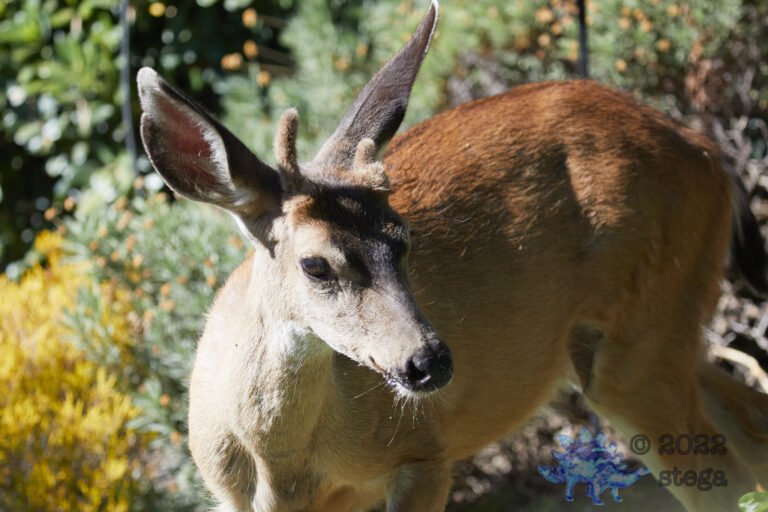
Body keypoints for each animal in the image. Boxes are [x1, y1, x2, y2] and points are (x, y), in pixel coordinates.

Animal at [136, 1, 768, 511]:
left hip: (641, 341)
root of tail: (711, 156)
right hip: (666, 325)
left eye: (404, 239)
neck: (282, 474)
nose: (429, 361)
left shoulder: (425, 456)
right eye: (315, 265)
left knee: (724, 476)